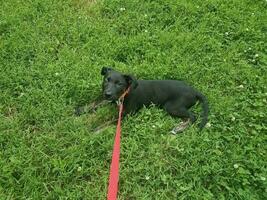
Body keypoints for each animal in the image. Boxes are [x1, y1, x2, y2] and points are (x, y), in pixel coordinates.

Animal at [77, 67, 209, 134]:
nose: (107, 94)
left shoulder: (126, 115)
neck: (125, 93)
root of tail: (194, 91)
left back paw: (181, 128)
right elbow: (97, 102)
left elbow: (109, 121)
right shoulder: (112, 99)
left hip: (172, 106)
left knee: (193, 116)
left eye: (119, 84)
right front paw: (81, 109)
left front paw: (97, 129)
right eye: (106, 80)